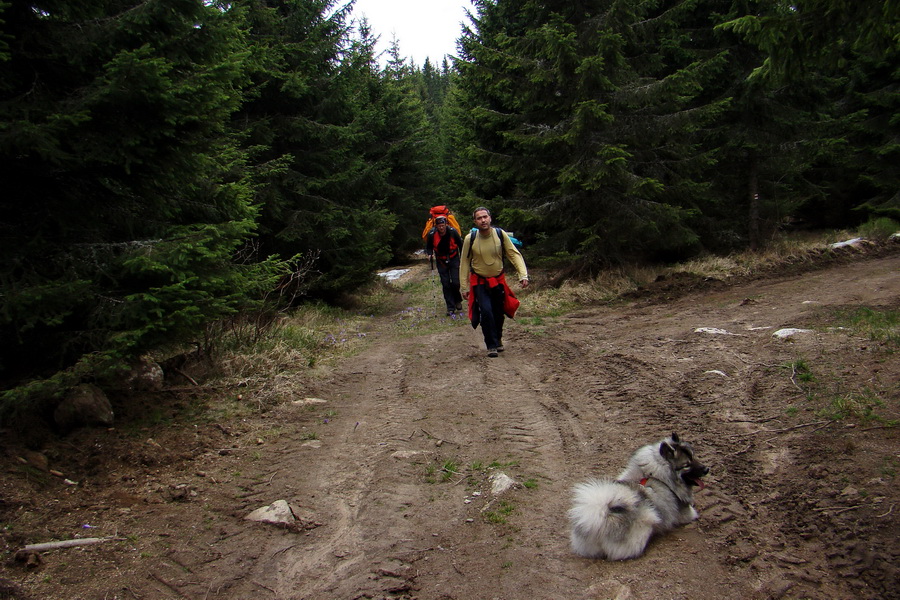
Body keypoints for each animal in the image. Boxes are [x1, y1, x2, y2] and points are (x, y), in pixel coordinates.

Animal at [568, 434, 712, 560]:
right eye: (687, 465)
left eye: (693, 457)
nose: (706, 469)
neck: (656, 475)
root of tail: (602, 516)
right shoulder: (686, 514)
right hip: (646, 523)